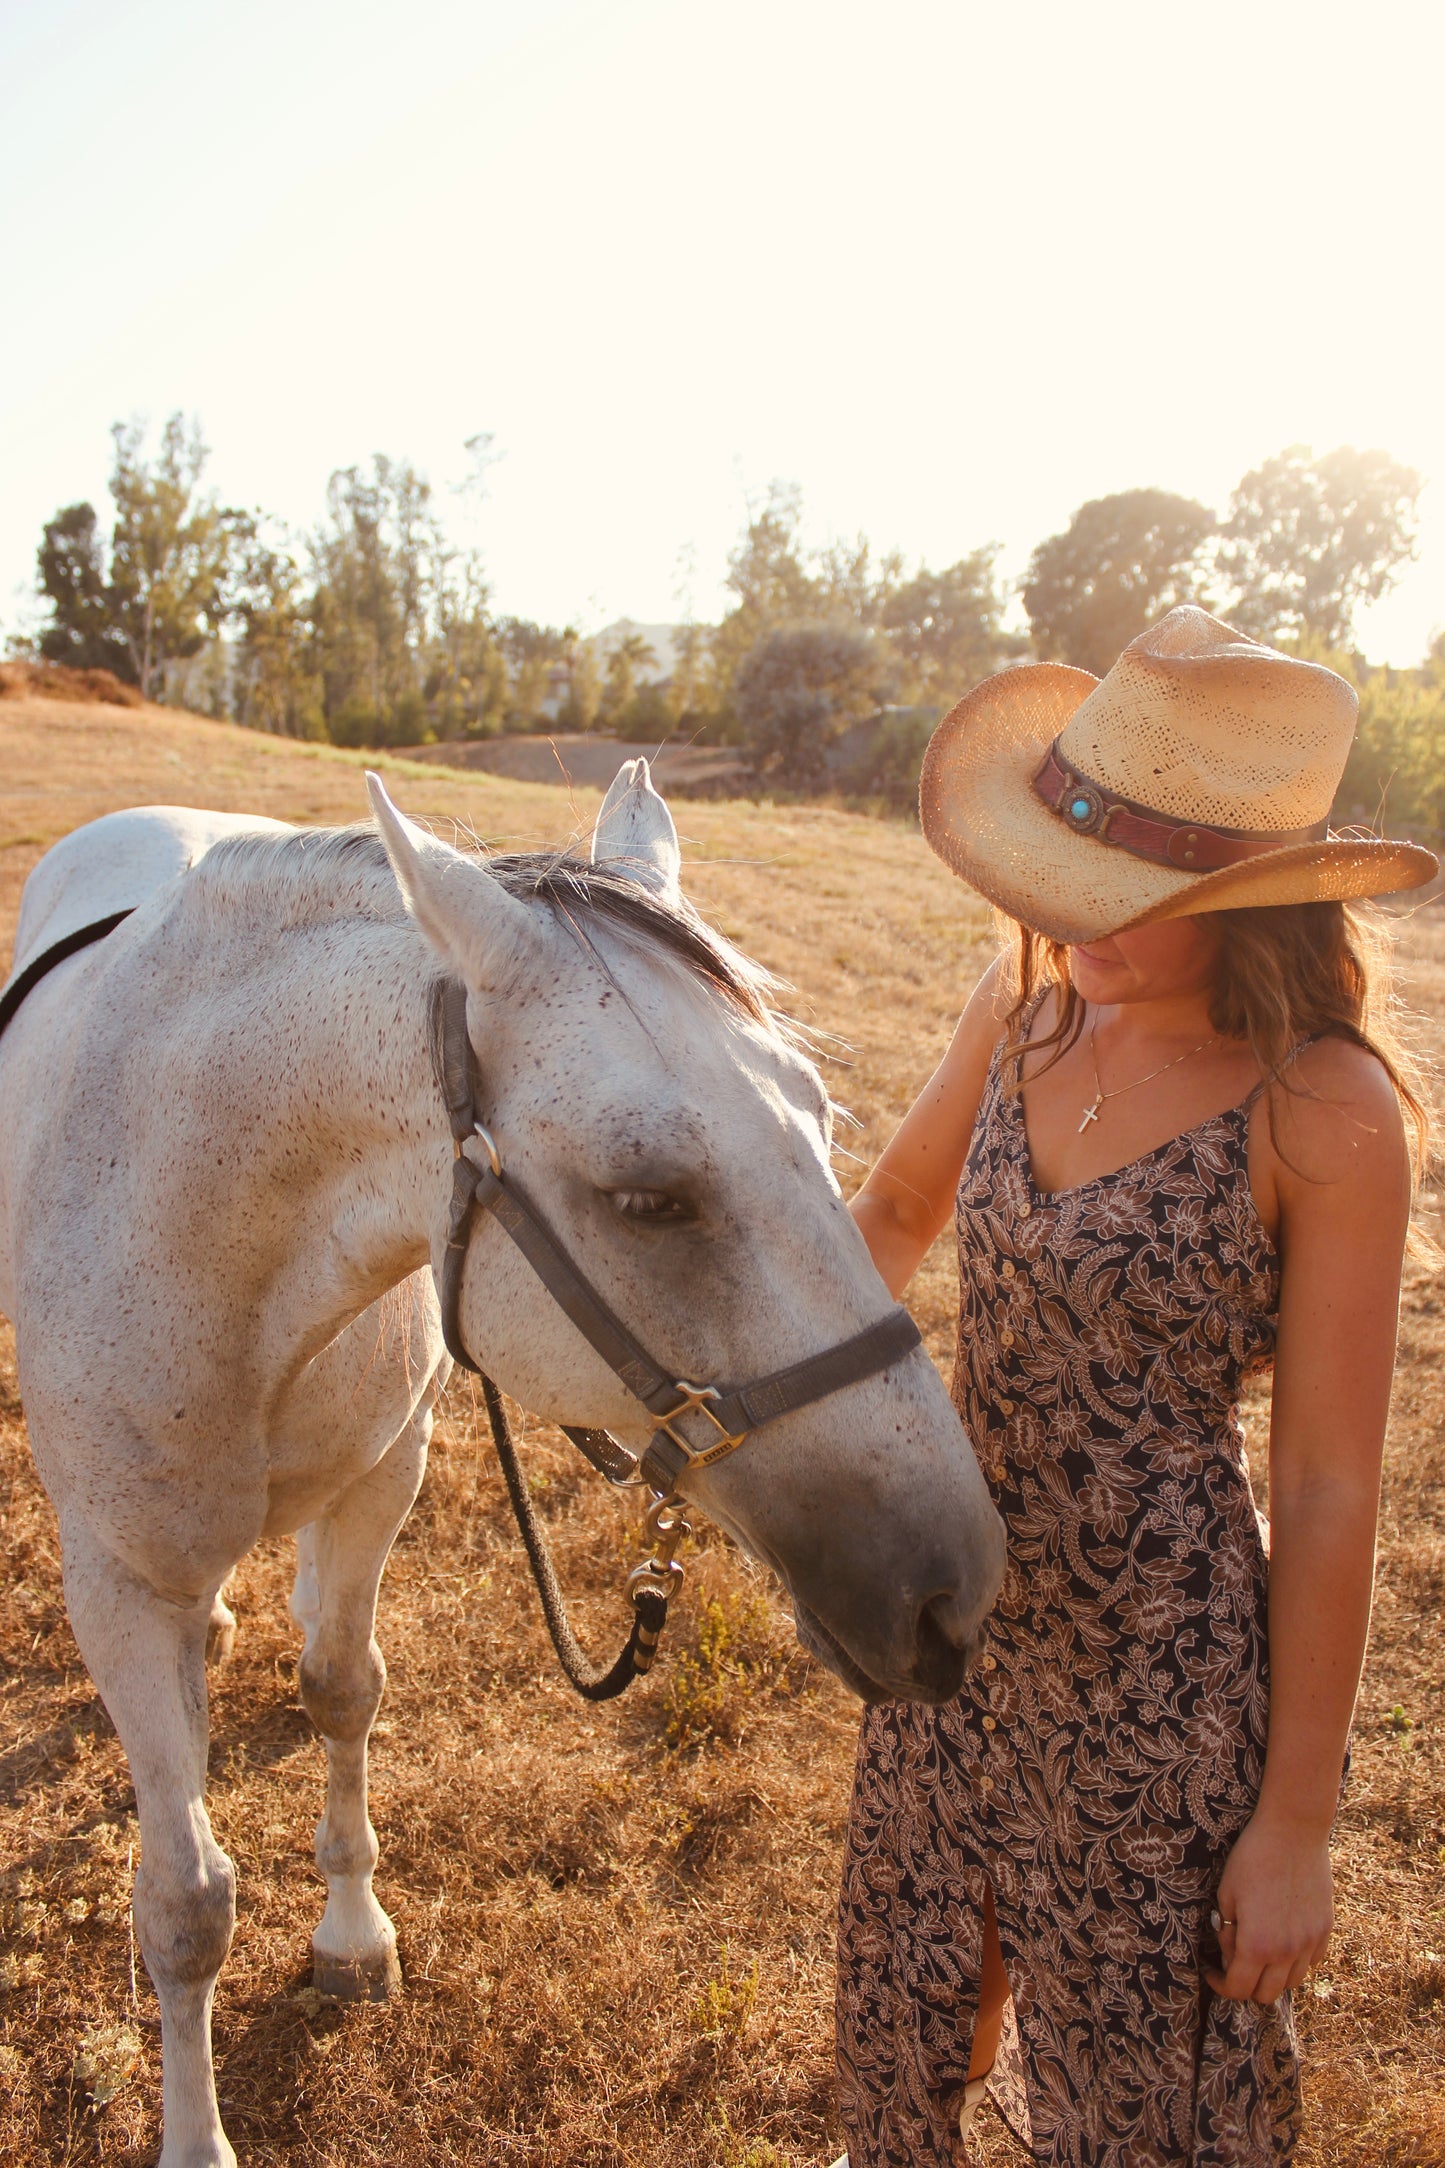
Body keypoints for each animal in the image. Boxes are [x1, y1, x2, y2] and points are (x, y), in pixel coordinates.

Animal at [0, 754, 1005, 2159]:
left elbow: (343, 1689)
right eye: (646, 1198)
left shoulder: (383, 1482)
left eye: (820, 1125)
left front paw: (352, 1931)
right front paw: (194, 2132)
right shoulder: (117, 1581)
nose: (951, 1587)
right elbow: (185, 1901)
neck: (197, 1228)